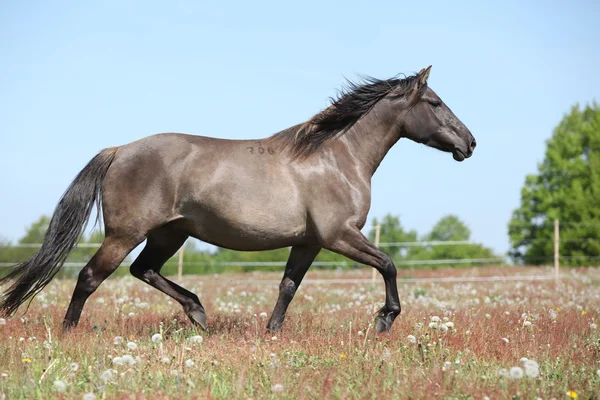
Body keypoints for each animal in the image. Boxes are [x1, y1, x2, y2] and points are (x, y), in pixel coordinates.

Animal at [1, 65, 478, 332]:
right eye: (436, 102)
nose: (470, 143)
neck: (335, 156)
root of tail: (119, 149)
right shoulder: (339, 235)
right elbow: (389, 264)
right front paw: (384, 319)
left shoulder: (309, 242)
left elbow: (288, 286)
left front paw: (272, 332)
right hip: (125, 234)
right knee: (90, 277)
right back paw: (69, 333)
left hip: (169, 234)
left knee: (144, 270)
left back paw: (198, 314)